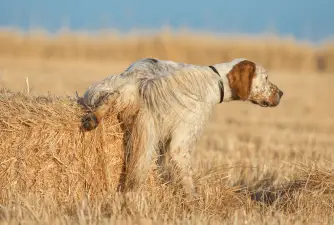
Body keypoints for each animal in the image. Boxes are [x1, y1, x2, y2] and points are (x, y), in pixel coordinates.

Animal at [79, 57, 284, 198]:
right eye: (266, 78)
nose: (281, 93)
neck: (216, 80)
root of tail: (138, 83)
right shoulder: (180, 141)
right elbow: (187, 177)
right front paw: (194, 200)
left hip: (122, 102)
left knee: (110, 98)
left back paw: (92, 119)